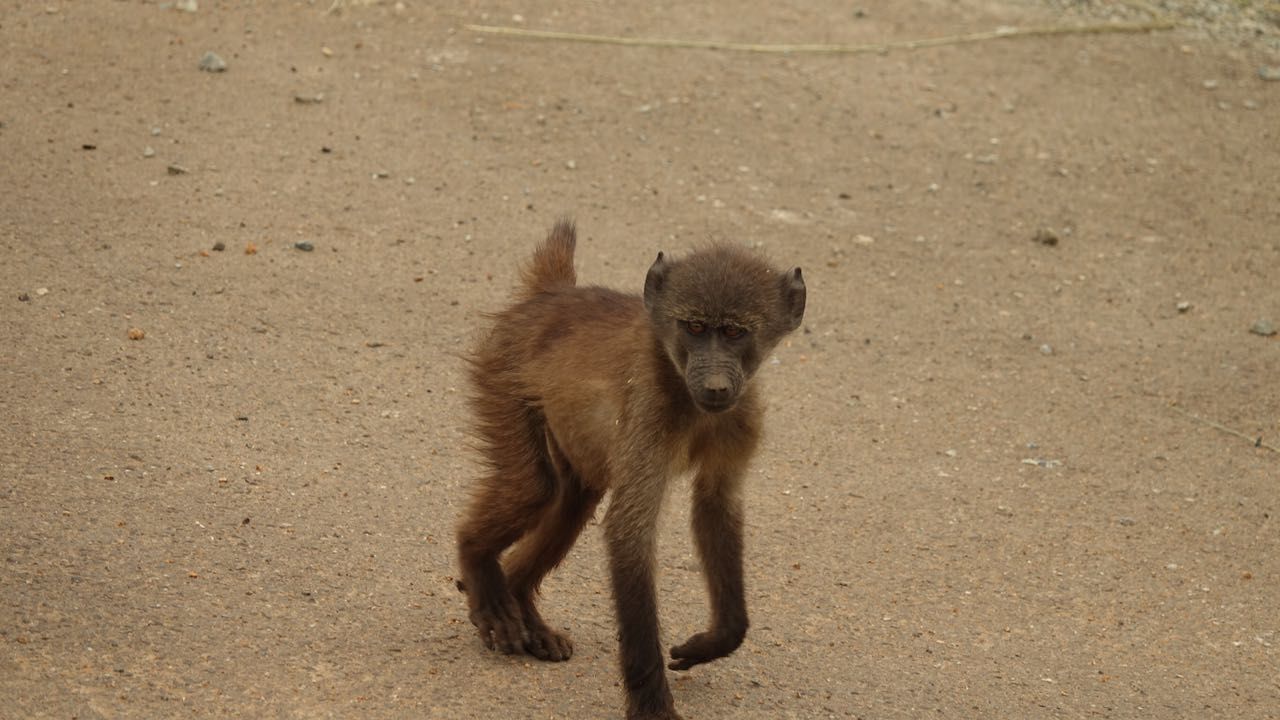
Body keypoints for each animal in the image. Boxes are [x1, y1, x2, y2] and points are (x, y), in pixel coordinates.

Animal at [455, 219, 805, 719]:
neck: (687, 394)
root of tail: (553, 296)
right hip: (504, 372)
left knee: (573, 501)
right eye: (695, 327)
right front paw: (652, 705)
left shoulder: (741, 419)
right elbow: (629, 532)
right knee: (534, 487)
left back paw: (519, 600)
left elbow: (715, 507)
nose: (716, 385)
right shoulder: (649, 412)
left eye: (735, 333)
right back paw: (478, 563)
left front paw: (715, 640)